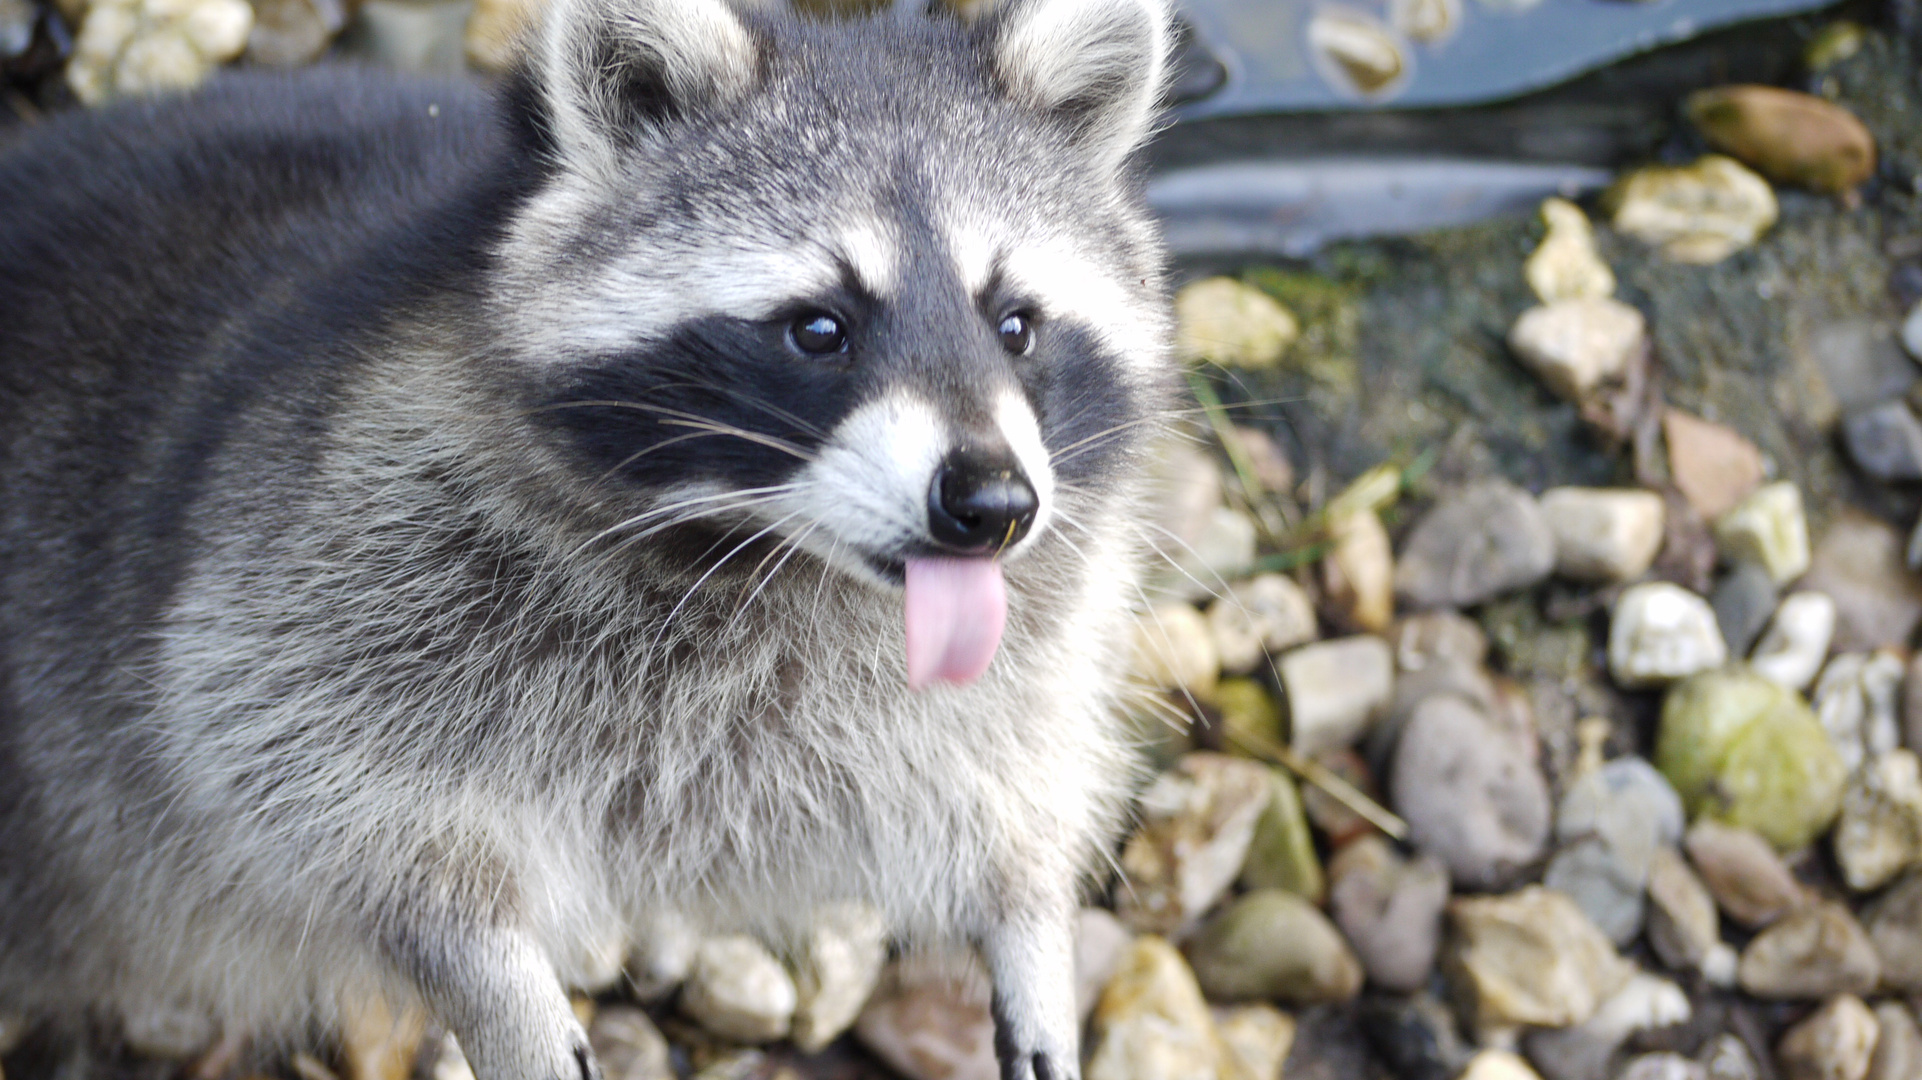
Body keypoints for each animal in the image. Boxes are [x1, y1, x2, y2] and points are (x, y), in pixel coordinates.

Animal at [0, 0, 1168, 1068]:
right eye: (818, 328)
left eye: (1014, 325)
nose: (990, 507)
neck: (771, 557)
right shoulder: (329, 535)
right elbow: (292, 761)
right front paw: (484, 971)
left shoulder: (1032, 625)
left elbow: (1017, 744)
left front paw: (1027, 909)